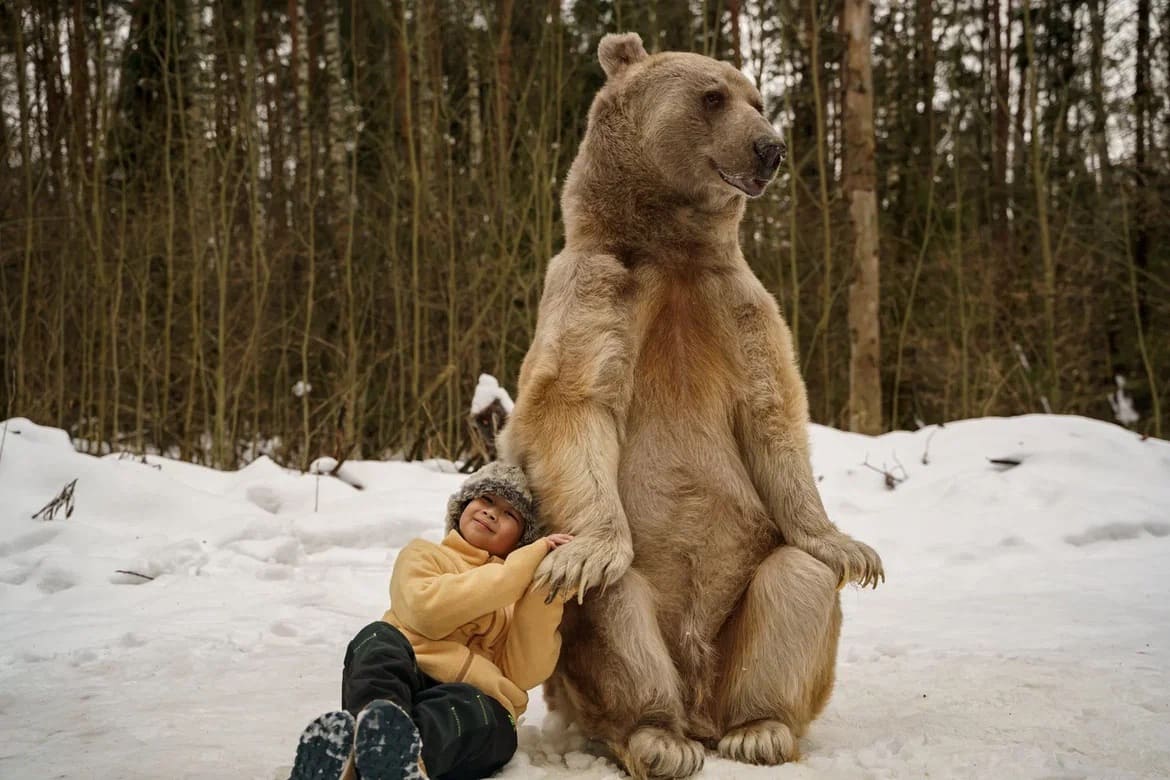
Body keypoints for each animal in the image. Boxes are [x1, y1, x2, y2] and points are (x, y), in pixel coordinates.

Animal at [498, 32, 884, 779]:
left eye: (757, 97)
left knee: (795, 581)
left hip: (745, 621)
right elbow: (572, 405)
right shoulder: (599, 288)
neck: (670, 247)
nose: (769, 148)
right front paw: (582, 556)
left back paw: (759, 731)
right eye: (712, 96)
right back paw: (658, 737)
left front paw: (853, 547)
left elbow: (774, 414)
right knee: (615, 608)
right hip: (612, 647)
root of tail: (702, 699)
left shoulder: (736, 303)